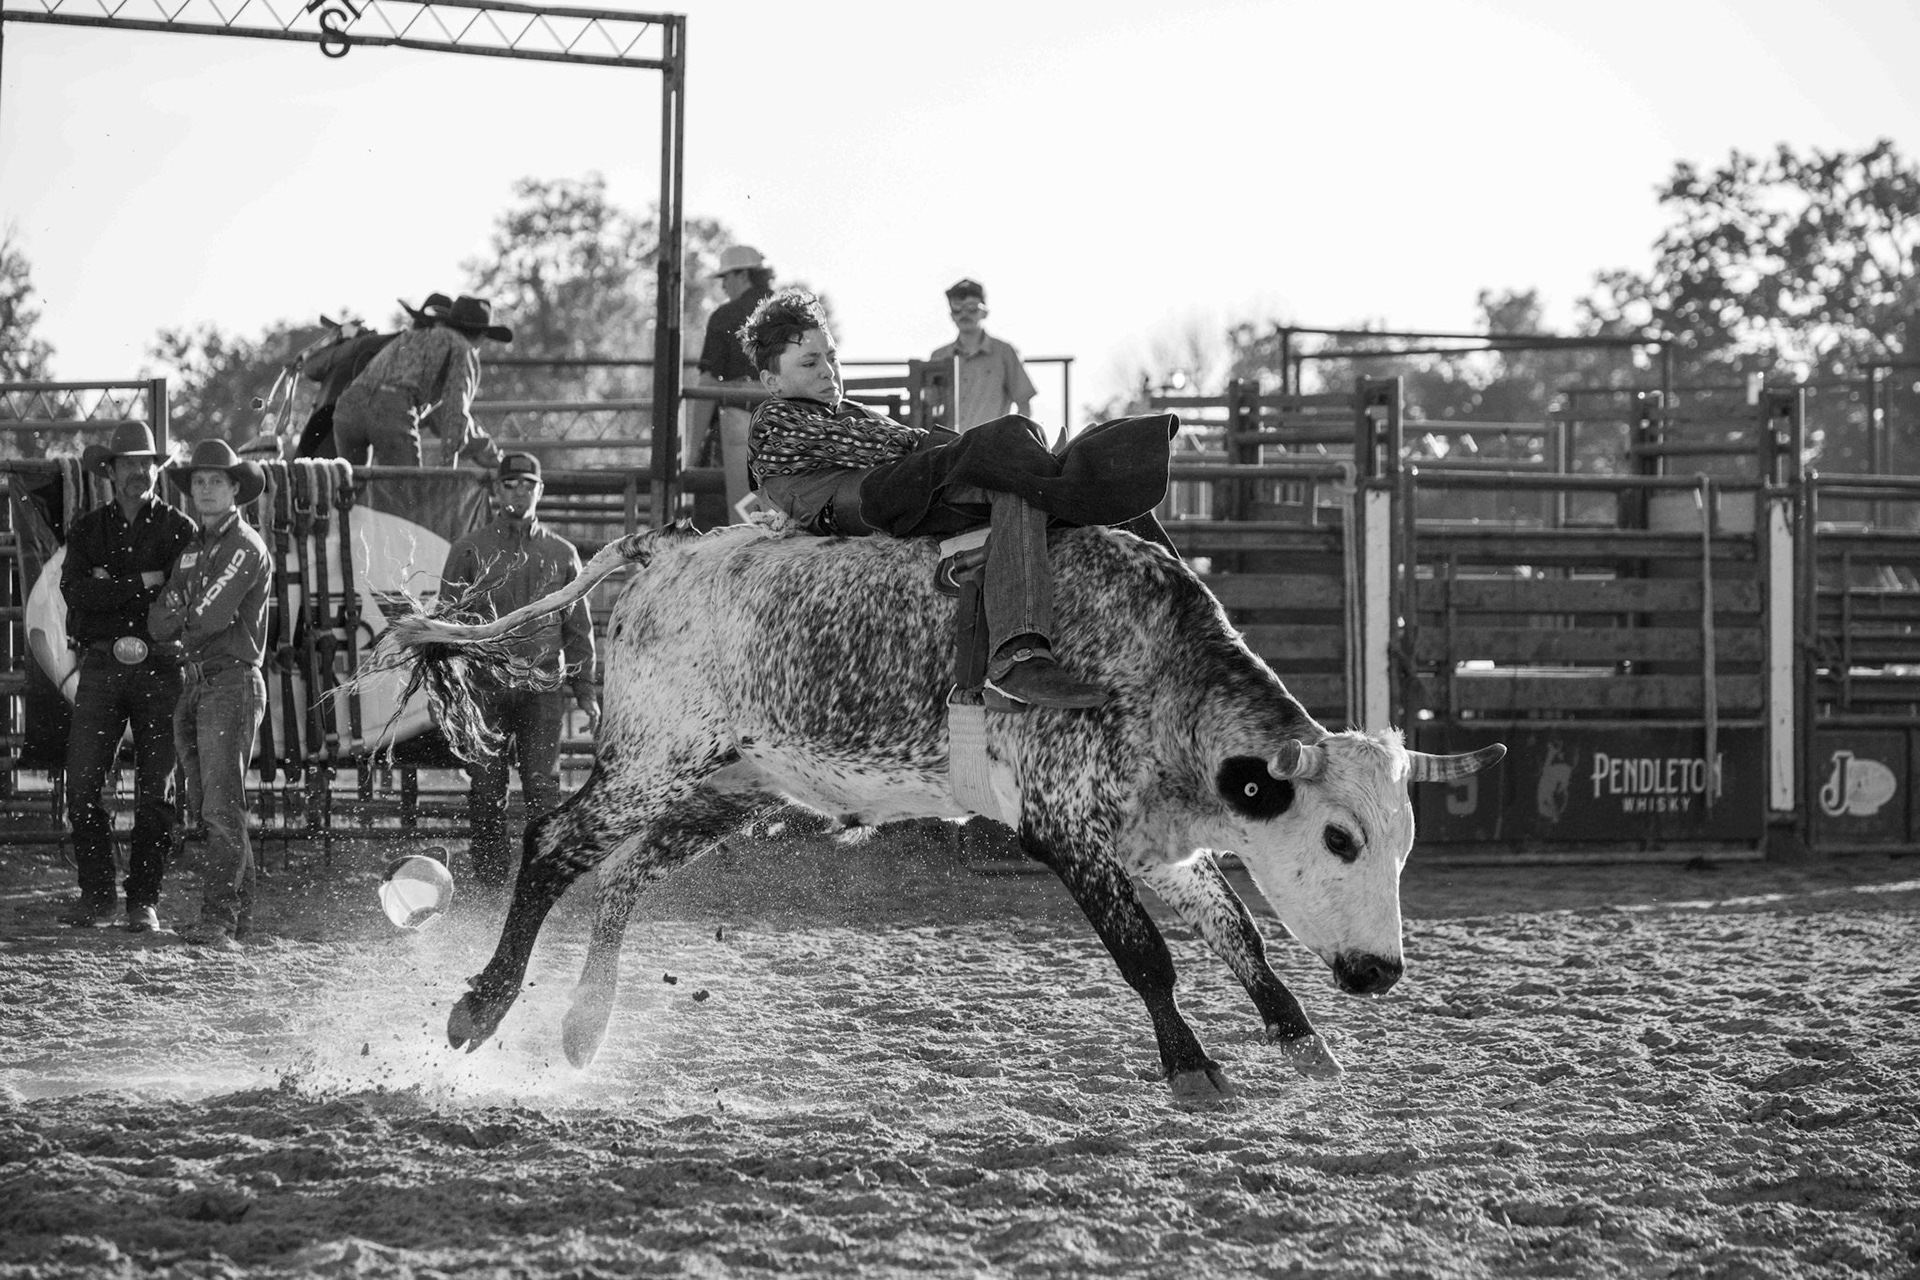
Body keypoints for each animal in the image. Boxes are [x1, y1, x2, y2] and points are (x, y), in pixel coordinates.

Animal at [366, 519, 1504, 1099]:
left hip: (736, 786)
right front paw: (1191, 1066)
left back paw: (585, 1023)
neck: (1148, 671)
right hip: (655, 754)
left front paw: (1303, 1040)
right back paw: (483, 1006)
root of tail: (667, 551)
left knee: (626, 871)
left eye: (1403, 844)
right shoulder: (1064, 830)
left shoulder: (1160, 847)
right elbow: (1150, 956)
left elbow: (1240, 937)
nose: (1382, 971)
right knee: (555, 842)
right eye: (1339, 837)